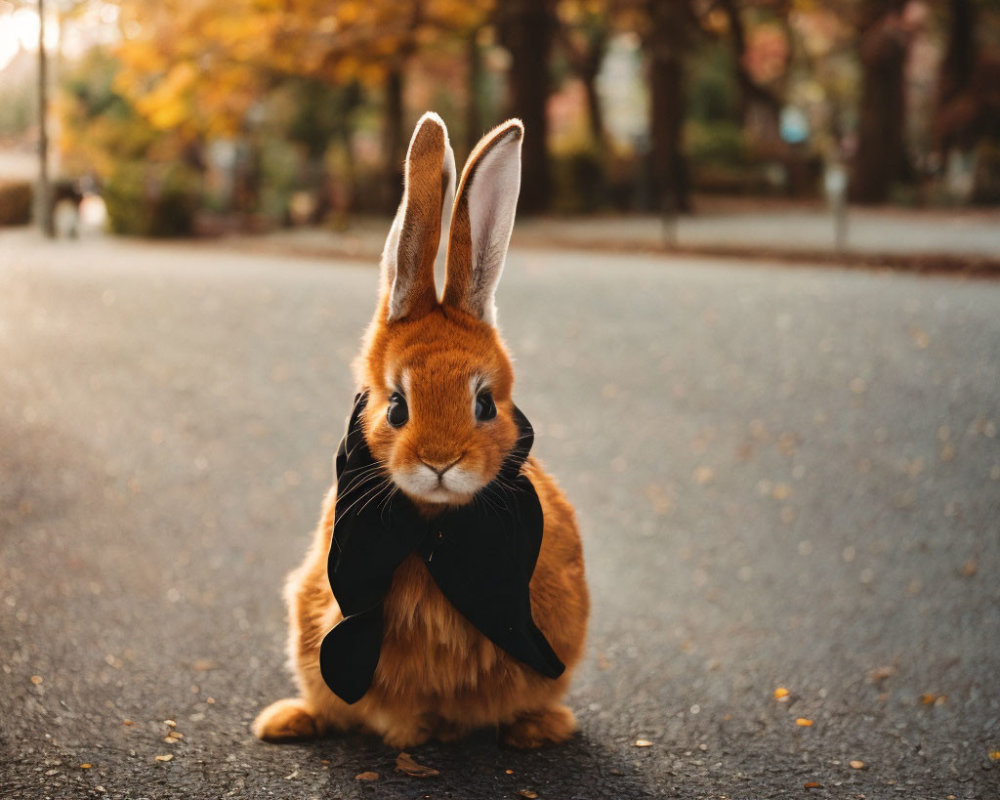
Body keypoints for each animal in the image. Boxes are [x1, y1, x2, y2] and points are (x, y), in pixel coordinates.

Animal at [254, 112, 588, 752]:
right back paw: (285, 722)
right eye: (396, 408)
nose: (440, 461)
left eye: (485, 404)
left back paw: (537, 729)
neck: (432, 524)